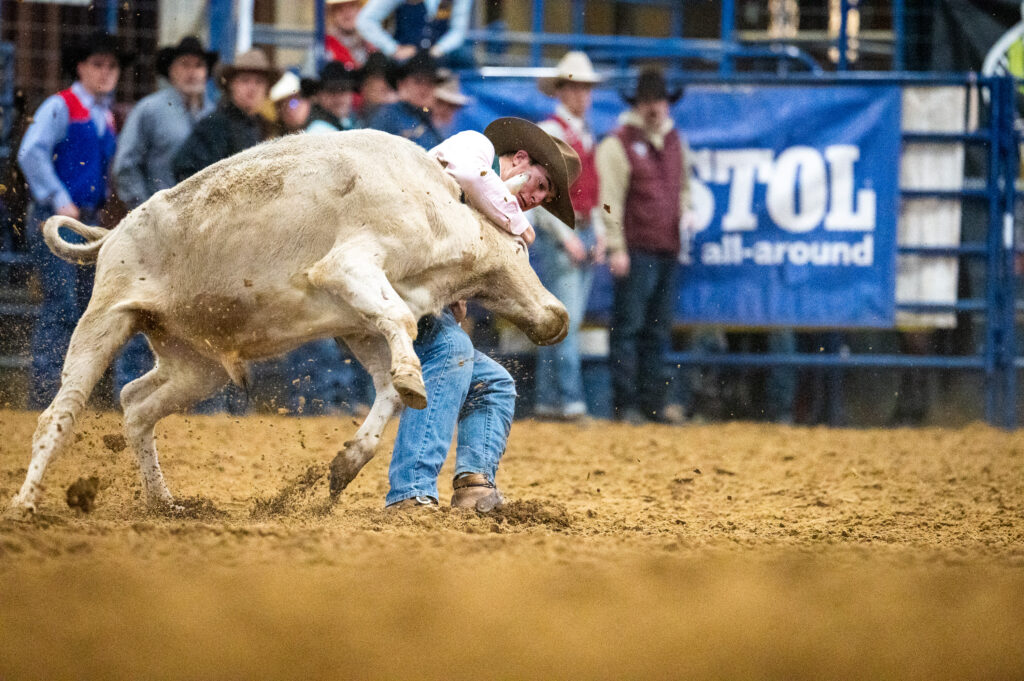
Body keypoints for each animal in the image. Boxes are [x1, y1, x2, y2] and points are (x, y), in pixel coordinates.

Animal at [6, 130, 568, 516]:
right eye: (521, 245)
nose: (559, 317)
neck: (440, 206)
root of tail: (112, 233)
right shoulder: (346, 267)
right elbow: (402, 327)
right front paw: (413, 379)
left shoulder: (357, 320)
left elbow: (388, 380)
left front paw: (346, 463)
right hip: (105, 319)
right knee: (59, 414)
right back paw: (25, 504)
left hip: (196, 363)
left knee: (136, 405)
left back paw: (163, 501)